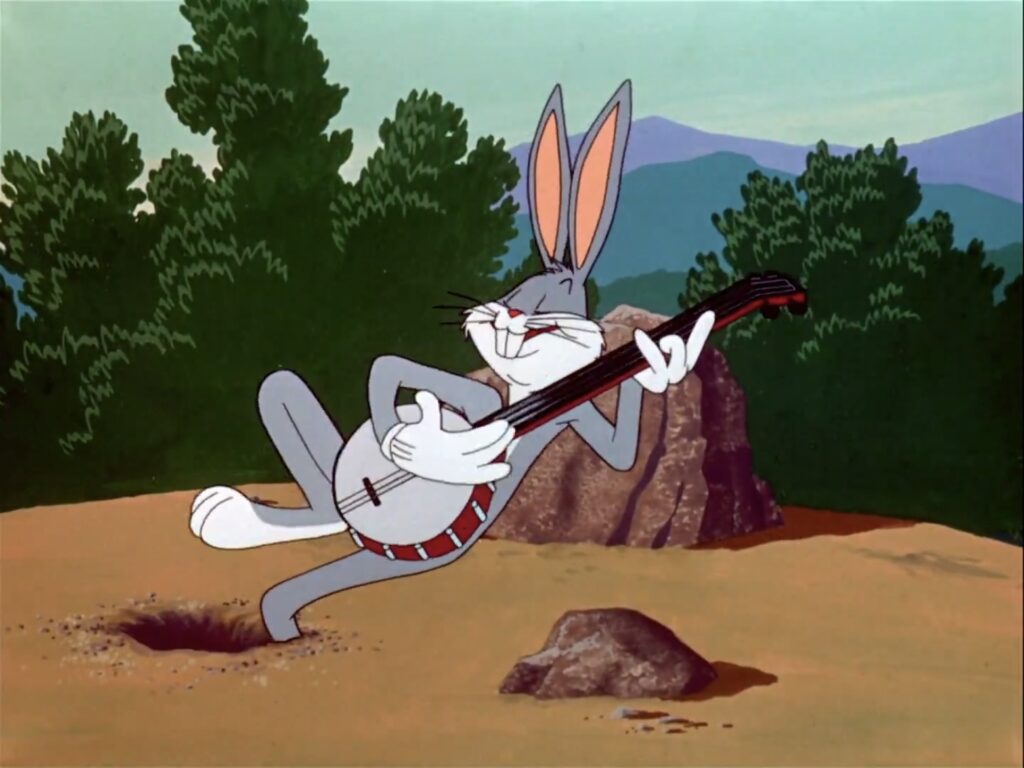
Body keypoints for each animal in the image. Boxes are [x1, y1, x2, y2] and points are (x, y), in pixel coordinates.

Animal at [189, 80, 715, 642]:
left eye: (549, 304)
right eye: (518, 291)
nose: (508, 315)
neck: (527, 396)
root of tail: (352, 513)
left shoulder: (568, 412)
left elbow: (619, 452)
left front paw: (659, 356)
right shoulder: (486, 395)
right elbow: (391, 369)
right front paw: (412, 444)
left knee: (303, 561)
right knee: (290, 426)